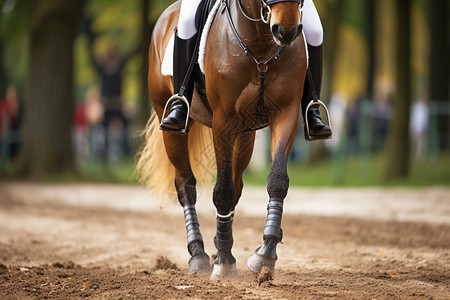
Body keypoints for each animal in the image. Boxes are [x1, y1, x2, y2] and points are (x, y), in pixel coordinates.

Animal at [137, 0, 306, 278]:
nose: (287, 30)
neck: (260, 44)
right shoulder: (223, 121)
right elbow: (223, 191)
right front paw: (225, 262)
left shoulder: (286, 113)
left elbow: (277, 181)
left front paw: (265, 253)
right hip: (170, 124)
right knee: (186, 186)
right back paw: (199, 254)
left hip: (245, 136)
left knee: (236, 184)